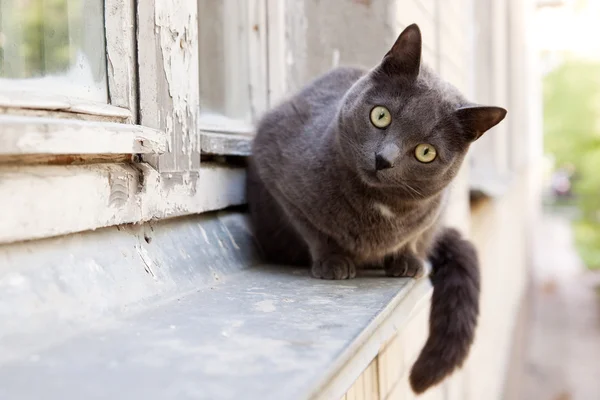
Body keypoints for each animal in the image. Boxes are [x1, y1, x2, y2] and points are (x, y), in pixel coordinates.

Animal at [247, 23, 506, 392]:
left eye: (426, 152)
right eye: (380, 116)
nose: (384, 159)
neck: (378, 206)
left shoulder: (434, 211)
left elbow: (414, 235)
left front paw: (407, 260)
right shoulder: (275, 167)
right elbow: (312, 230)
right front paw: (333, 261)